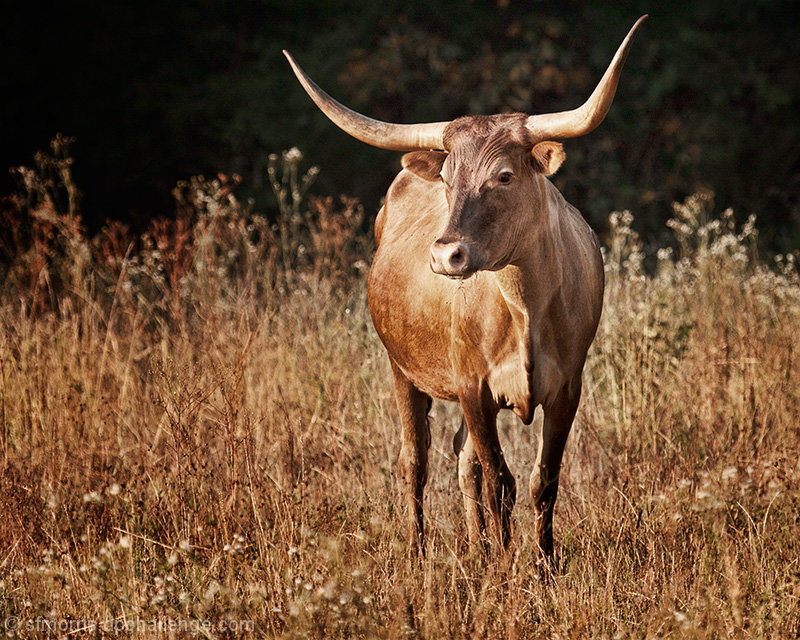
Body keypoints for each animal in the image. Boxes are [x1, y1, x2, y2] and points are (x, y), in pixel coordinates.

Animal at [284, 13, 648, 556]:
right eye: (448, 180)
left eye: (504, 176)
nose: (445, 254)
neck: (526, 307)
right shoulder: (474, 386)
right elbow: (501, 481)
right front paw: (507, 564)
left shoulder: (568, 387)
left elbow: (542, 481)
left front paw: (542, 562)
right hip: (402, 368)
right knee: (416, 458)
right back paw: (418, 549)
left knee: (462, 459)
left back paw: (476, 548)